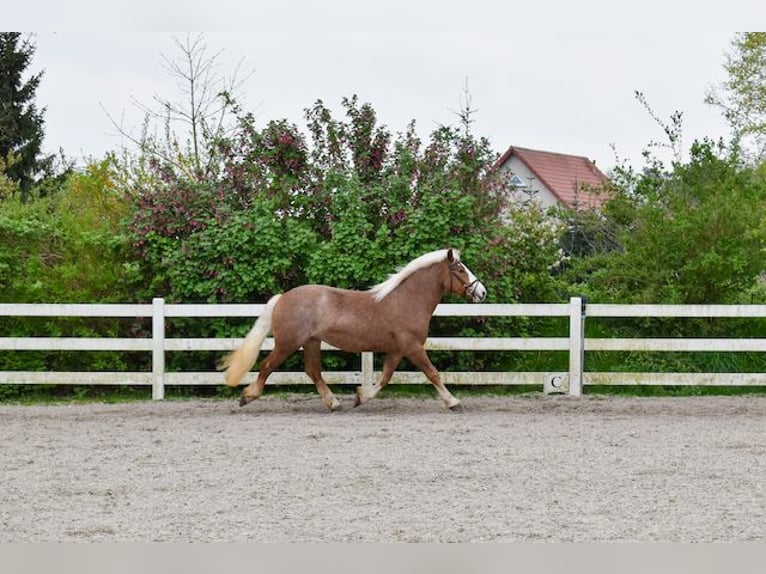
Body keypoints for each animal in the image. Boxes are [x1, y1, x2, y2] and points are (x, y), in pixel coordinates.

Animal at [219, 250, 488, 412]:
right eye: (460, 269)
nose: (482, 292)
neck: (406, 301)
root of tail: (283, 297)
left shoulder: (397, 350)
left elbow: (385, 378)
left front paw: (361, 397)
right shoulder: (412, 347)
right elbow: (433, 374)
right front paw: (453, 402)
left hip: (312, 341)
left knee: (313, 371)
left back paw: (334, 403)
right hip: (288, 343)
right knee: (267, 366)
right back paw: (248, 396)